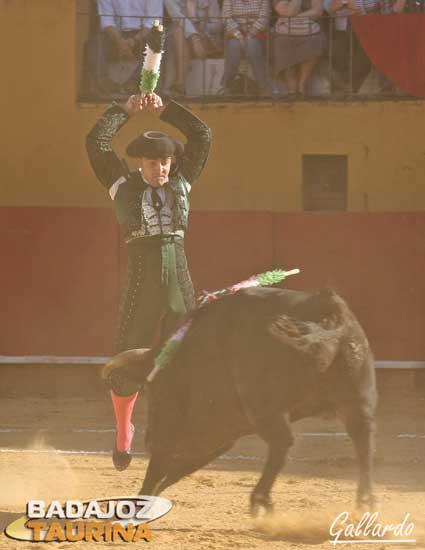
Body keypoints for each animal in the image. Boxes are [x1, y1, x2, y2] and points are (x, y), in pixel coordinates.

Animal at [104, 288, 376, 512]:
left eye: (152, 391)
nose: (146, 440)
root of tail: (328, 316)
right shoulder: (217, 435)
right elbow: (176, 468)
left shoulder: (184, 426)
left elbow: (160, 464)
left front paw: (139, 503)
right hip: (358, 401)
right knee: (363, 442)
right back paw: (365, 501)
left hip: (263, 407)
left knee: (282, 442)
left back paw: (260, 499)